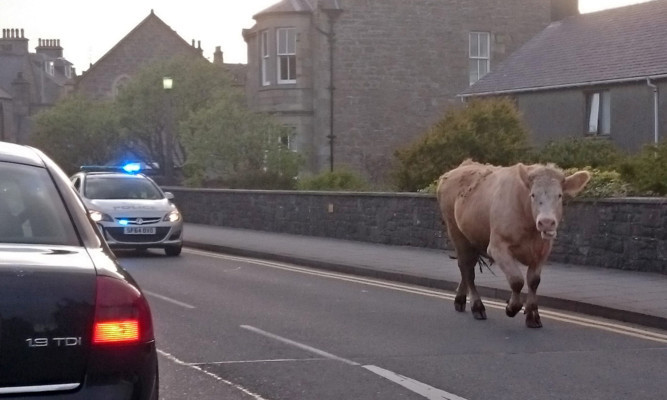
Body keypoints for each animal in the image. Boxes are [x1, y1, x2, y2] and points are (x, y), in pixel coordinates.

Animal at [438, 159, 588, 328]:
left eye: (559, 195)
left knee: (467, 266)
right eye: (533, 195)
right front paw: (512, 307)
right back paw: (477, 306)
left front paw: (532, 315)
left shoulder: (543, 250)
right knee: (467, 269)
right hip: (456, 231)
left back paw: (460, 299)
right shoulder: (497, 247)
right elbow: (517, 280)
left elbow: (533, 281)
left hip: (473, 236)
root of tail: (462, 166)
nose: (546, 222)